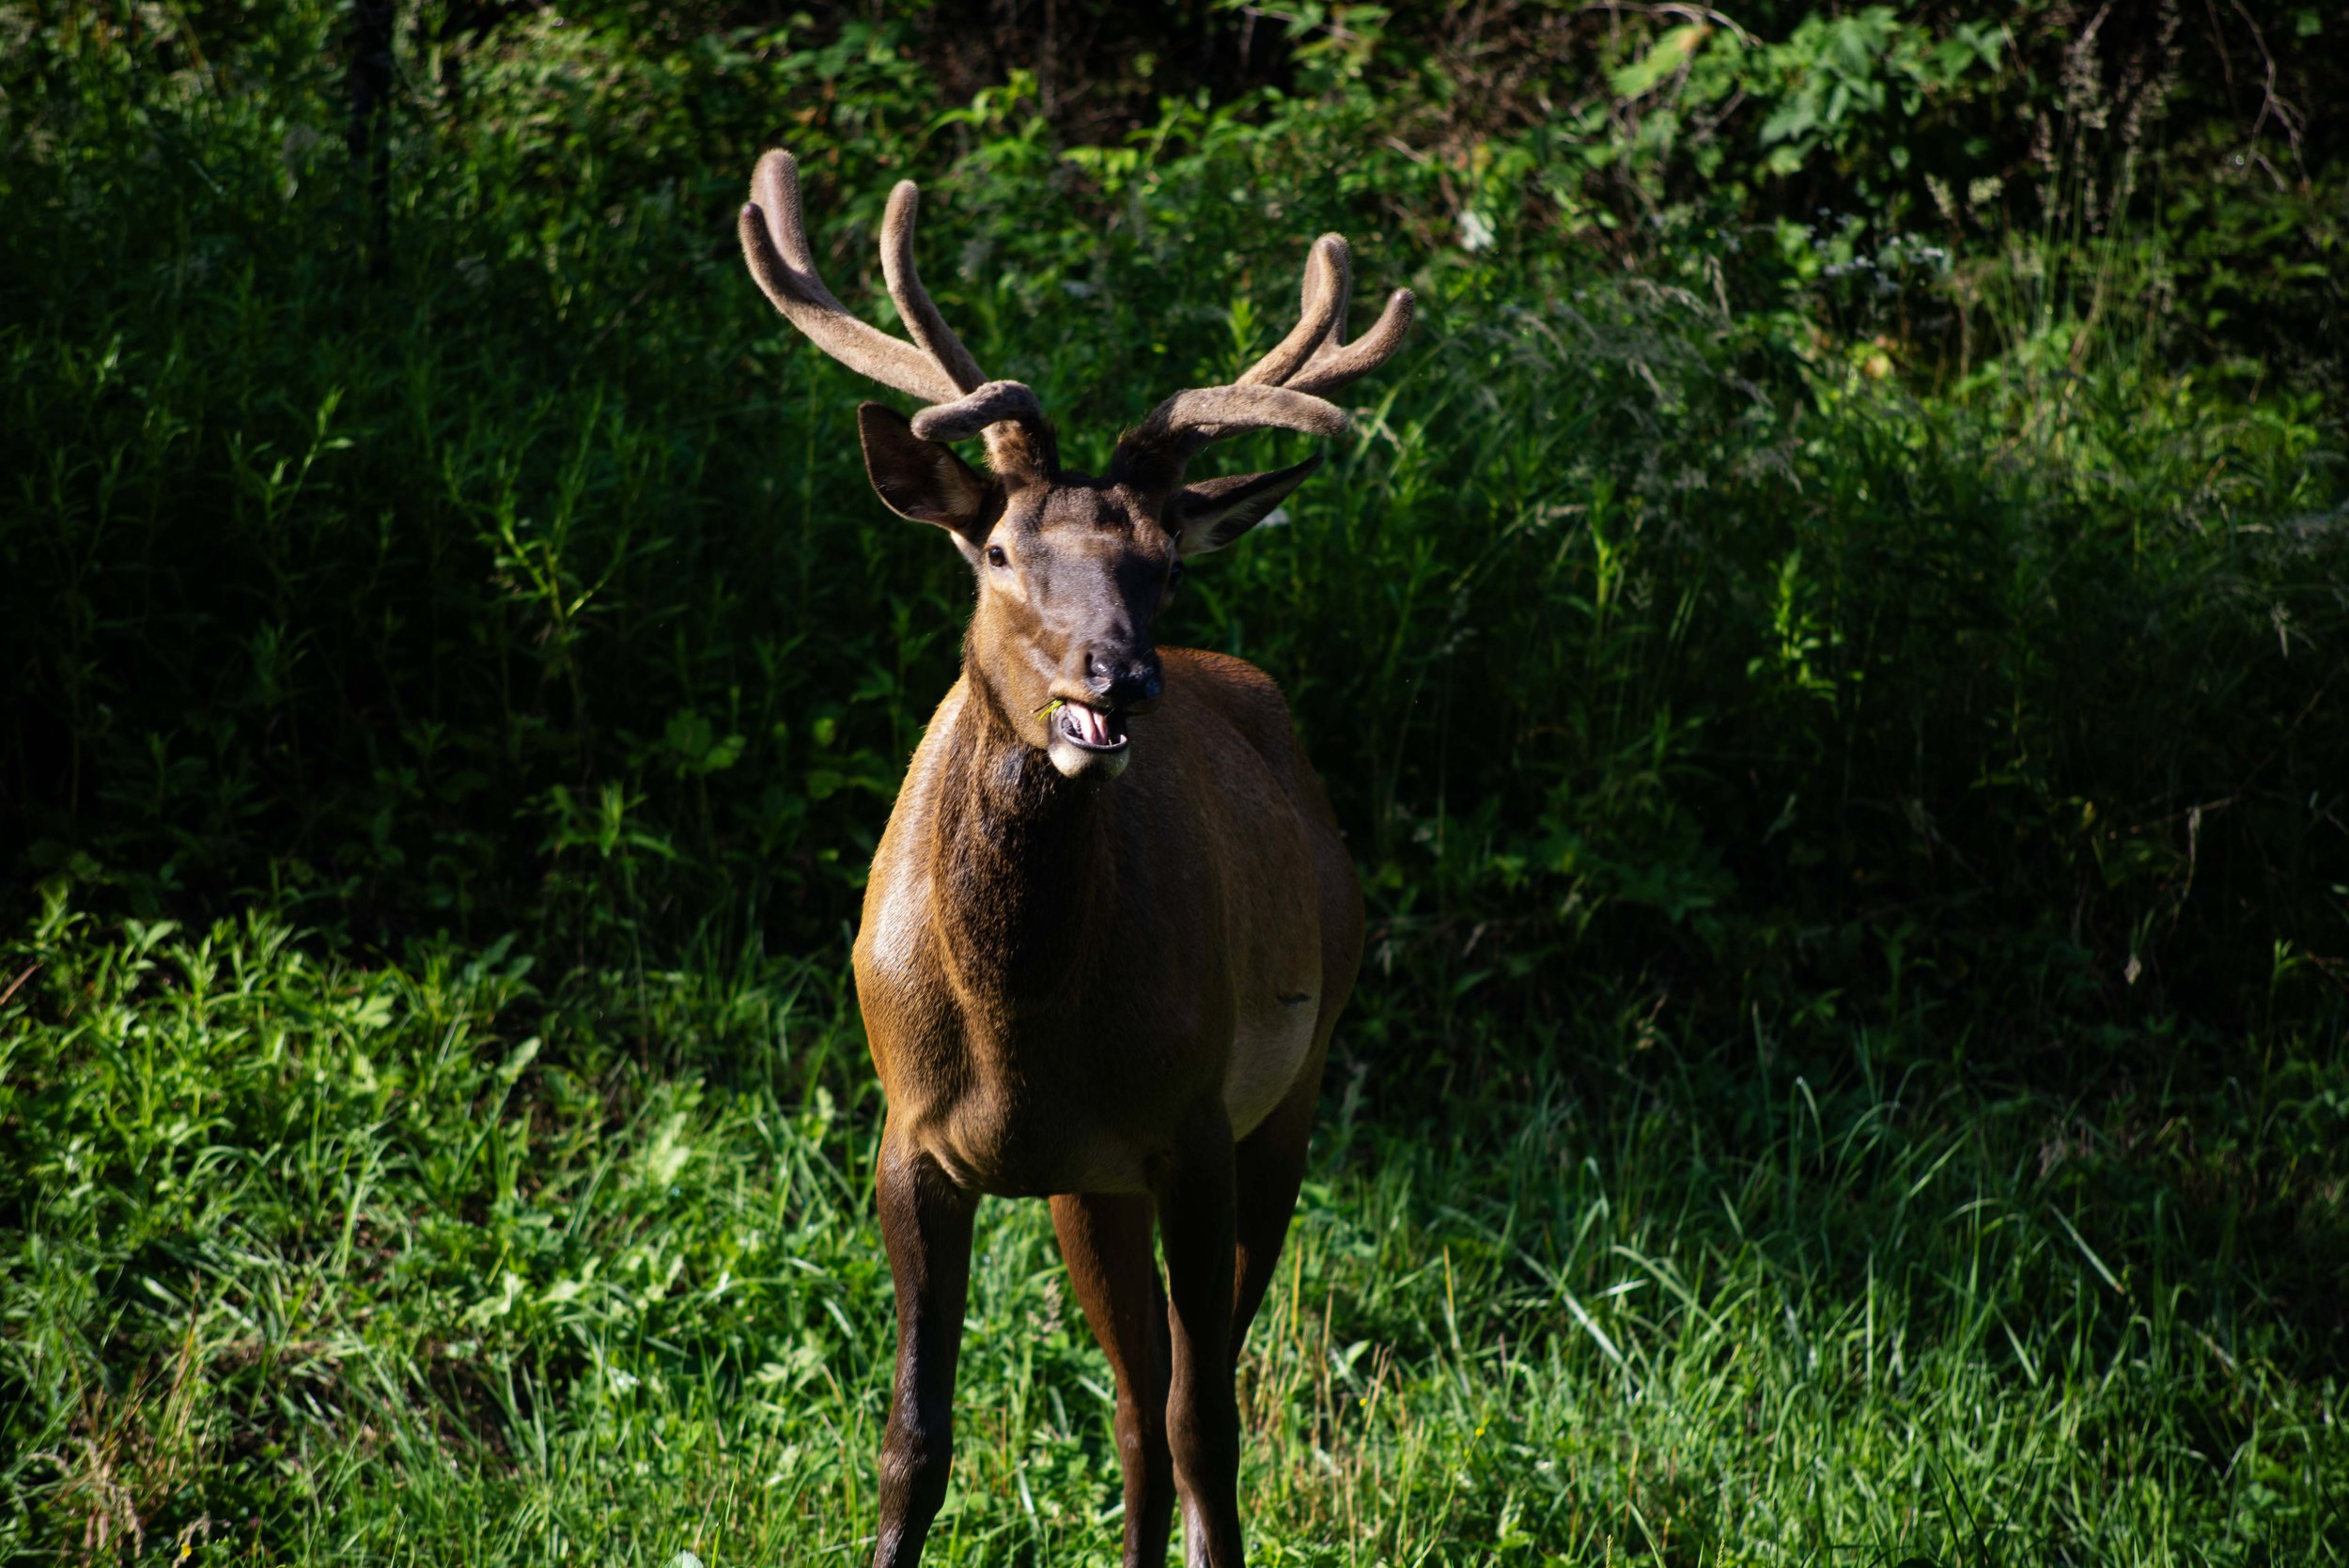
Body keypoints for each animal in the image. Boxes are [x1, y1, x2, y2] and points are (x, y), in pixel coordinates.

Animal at [735, 148, 1412, 1568]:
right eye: (996, 550)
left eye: (1162, 566)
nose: (1119, 678)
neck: (1016, 1030)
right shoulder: (911, 1144)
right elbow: (912, 1443)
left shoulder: (1196, 1128)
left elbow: (1213, 1422)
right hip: (1087, 1192)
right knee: (1131, 1404)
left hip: (1292, 1091)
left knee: (1175, 1398)